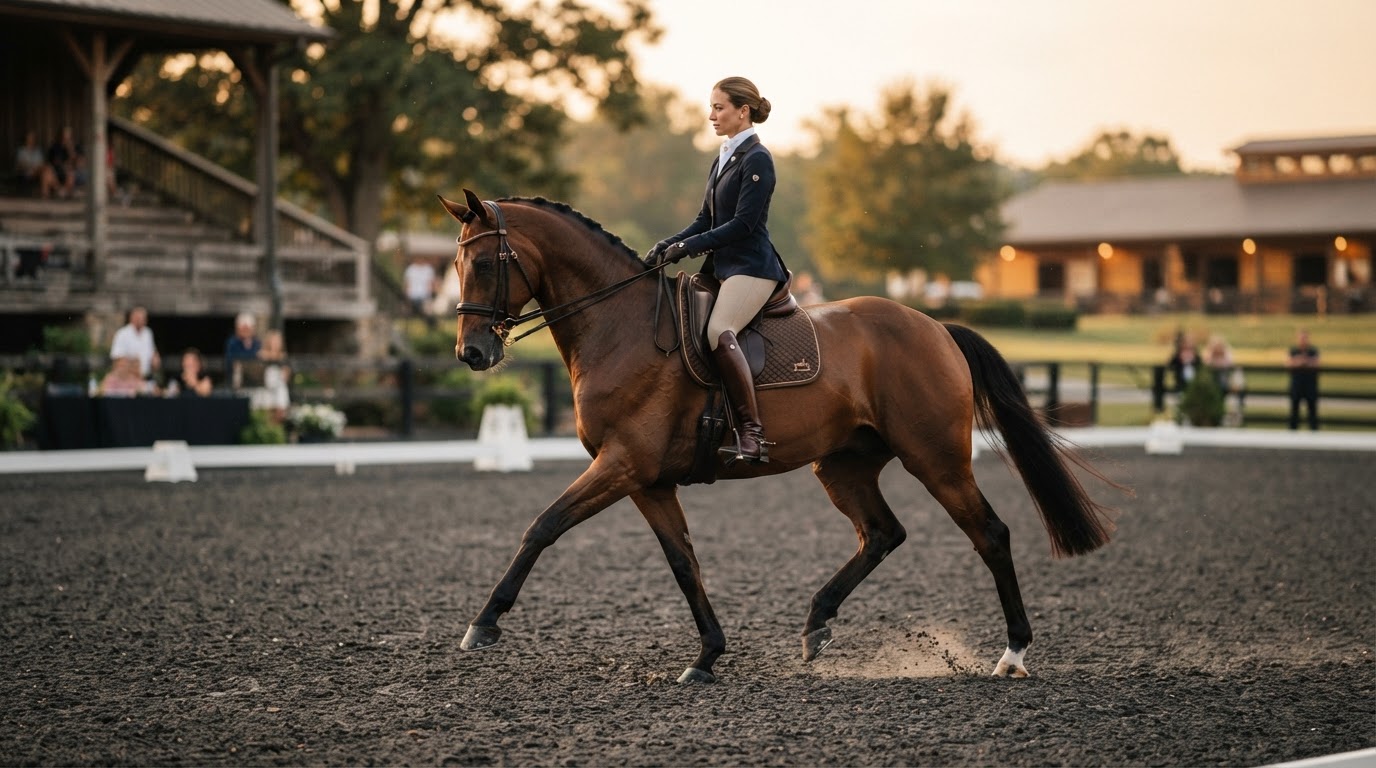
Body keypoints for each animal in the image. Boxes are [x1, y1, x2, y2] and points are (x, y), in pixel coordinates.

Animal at [439, 189, 1118, 683]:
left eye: (485, 262)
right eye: (456, 263)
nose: (471, 353)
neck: (620, 327)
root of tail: (934, 327)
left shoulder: (622, 464)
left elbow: (543, 526)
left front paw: (483, 625)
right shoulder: (647, 480)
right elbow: (683, 562)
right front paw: (707, 656)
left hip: (937, 458)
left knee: (990, 535)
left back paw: (1013, 654)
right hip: (842, 465)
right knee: (882, 533)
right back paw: (816, 626)